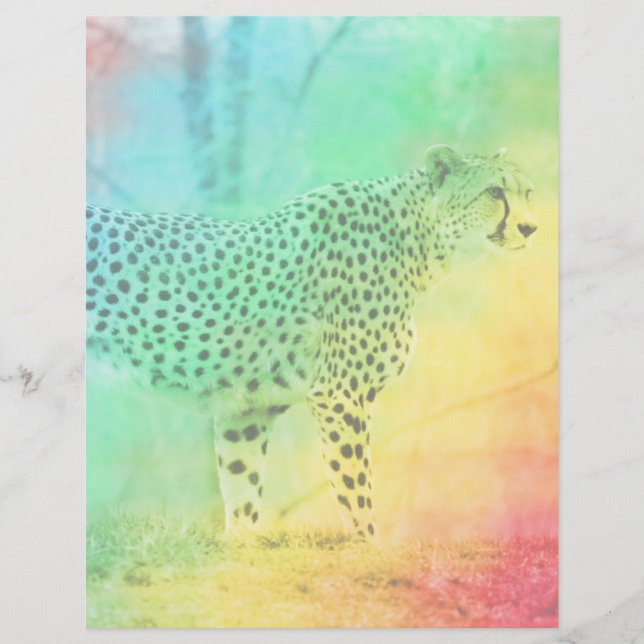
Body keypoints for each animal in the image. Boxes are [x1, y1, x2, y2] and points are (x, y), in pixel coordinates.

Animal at [86, 144, 537, 540]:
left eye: (527, 192)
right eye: (495, 192)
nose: (530, 228)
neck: (420, 242)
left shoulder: (246, 409)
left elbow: (242, 488)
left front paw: (239, 545)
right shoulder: (340, 394)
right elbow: (356, 491)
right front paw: (366, 547)